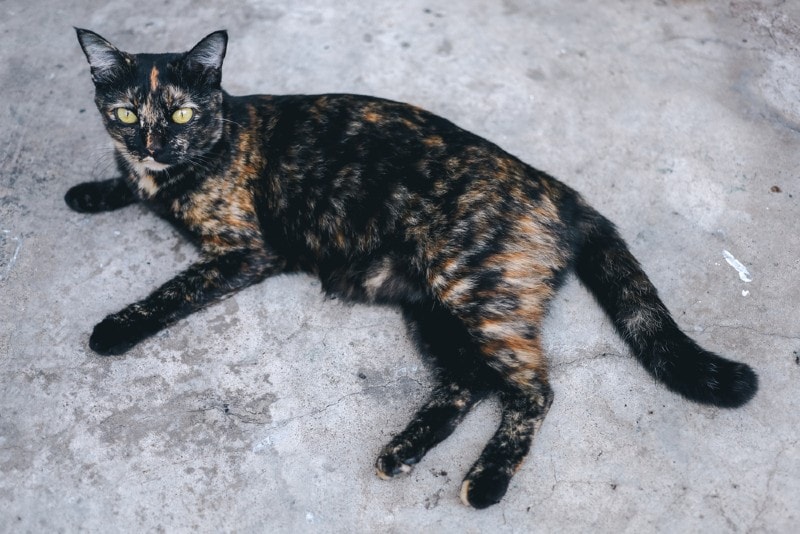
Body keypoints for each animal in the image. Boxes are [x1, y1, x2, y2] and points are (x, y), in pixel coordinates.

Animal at [67, 29, 756, 510]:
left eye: (181, 114)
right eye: (126, 113)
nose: (153, 144)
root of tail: (560, 191)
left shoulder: (244, 250)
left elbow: (173, 291)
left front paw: (116, 328)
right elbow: (126, 183)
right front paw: (92, 191)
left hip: (475, 291)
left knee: (533, 388)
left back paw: (486, 480)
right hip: (430, 307)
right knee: (468, 381)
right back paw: (403, 451)